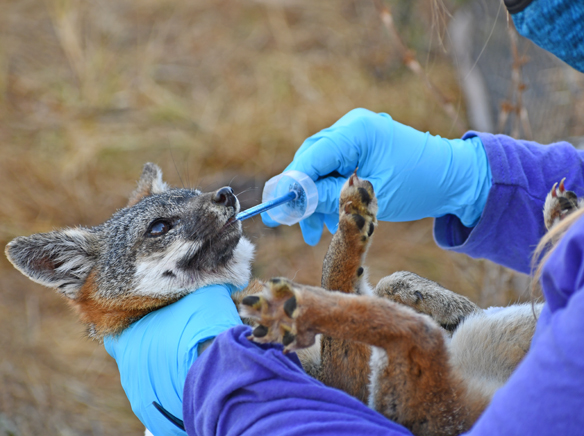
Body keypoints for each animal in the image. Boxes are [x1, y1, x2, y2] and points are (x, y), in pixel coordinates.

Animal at [4, 164, 576, 436]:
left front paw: (440, 298)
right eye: (159, 227)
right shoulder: (349, 389)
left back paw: (562, 217)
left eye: (194, 194)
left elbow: (384, 286)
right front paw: (347, 232)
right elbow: (344, 287)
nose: (226, 195)